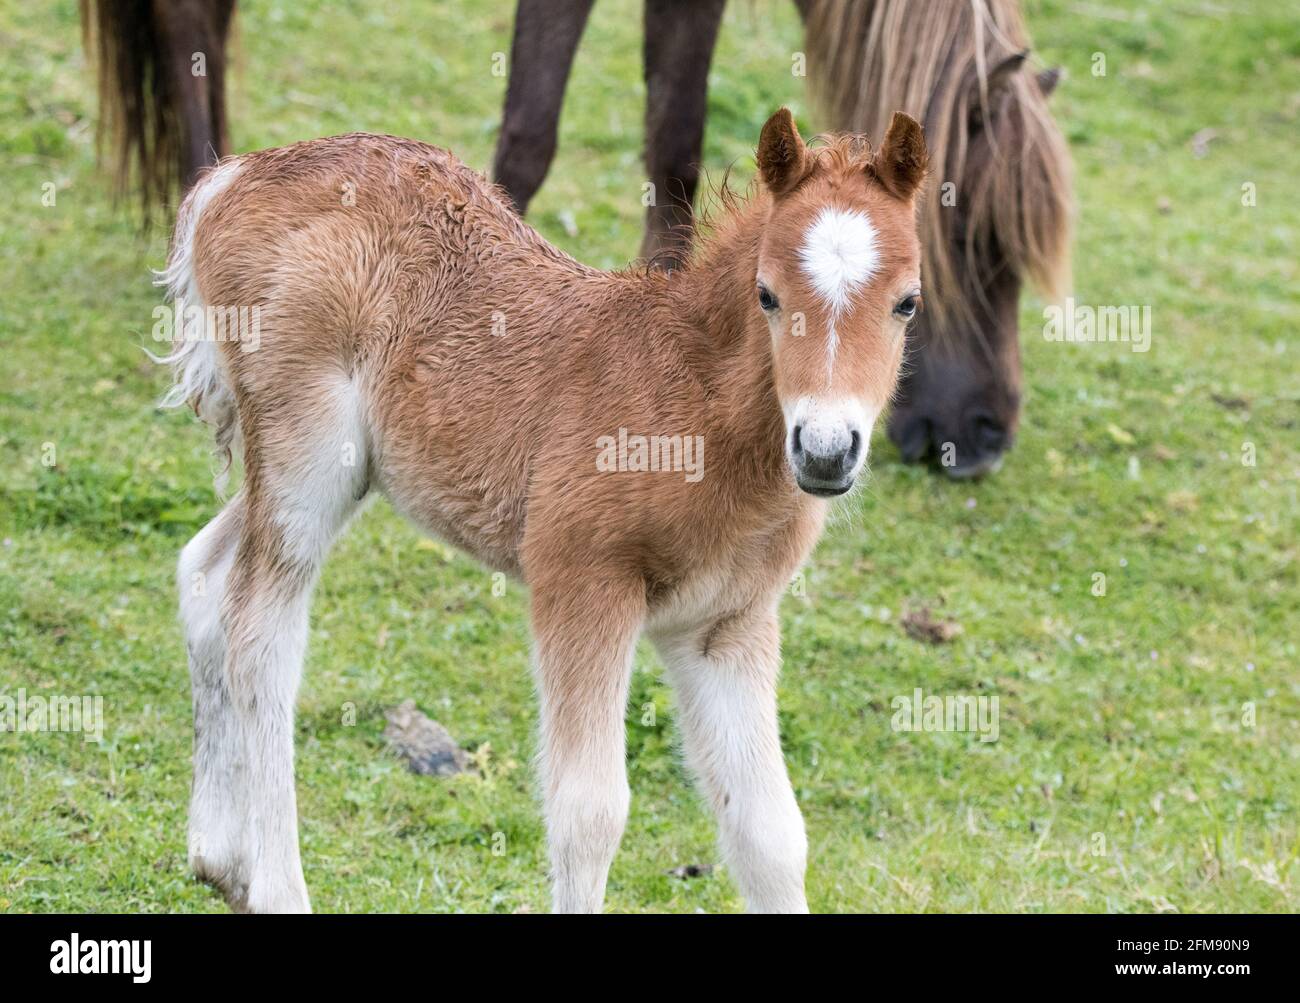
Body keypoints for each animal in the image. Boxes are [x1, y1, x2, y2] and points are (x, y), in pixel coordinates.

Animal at [162, 105, 930, 914]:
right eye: (768, 295)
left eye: (907, 302)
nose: (825, 450)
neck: (693, 412)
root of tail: (230, 177)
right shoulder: (582, 581)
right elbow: (589, 811)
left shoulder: (725, 622)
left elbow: (769, 831)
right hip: (306, 449)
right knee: (259, 629)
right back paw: (276, 886)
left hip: (334, 469)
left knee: (207, 572)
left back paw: (219, 859)